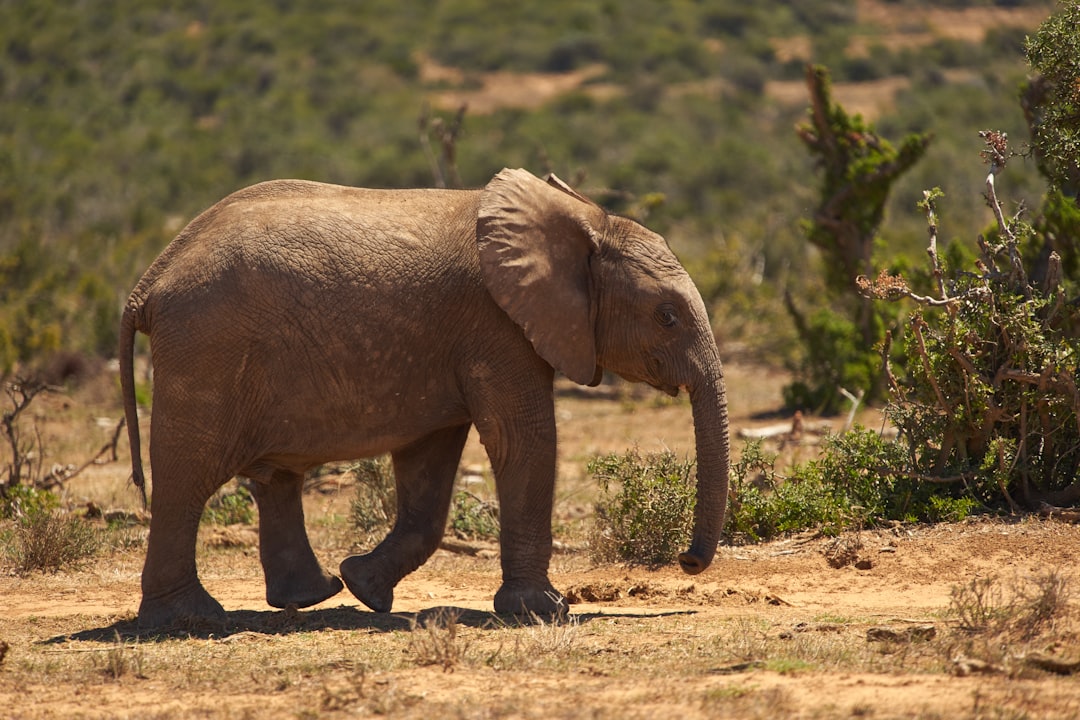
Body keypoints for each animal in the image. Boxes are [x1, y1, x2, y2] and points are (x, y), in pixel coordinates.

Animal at [120, 167, 734, 626]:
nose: (686, 560)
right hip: (207, 347)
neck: (583, 221)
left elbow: (430, 465)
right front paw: (543, 611)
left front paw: (366, 588)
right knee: (186, 477)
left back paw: (312, 596)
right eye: (667, 316)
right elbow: (523, 440)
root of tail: (148, 282)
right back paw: (192, 618)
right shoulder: (496, 326)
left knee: (273, 477)